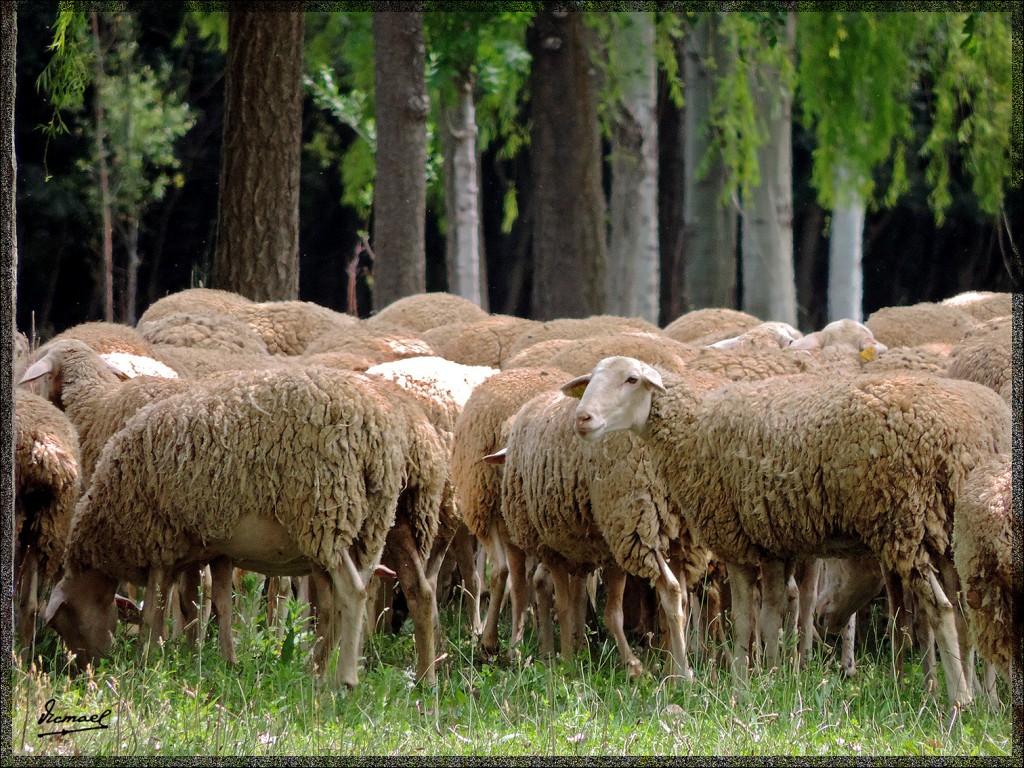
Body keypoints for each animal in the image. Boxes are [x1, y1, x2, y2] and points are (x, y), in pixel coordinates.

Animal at [44, 366, 405, 692]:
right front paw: (217, 660)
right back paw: (319, 672)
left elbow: (156, 607)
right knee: (340, 600)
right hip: (367, 528)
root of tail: (374, 430)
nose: (83, 670)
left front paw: (147, 657)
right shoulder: (212, 550)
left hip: (326, 514)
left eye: (63, 621)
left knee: (352, 593)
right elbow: (211, 604)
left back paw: (345, 679)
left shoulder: (159, 541)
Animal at [569, 356, 1007, 708]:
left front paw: (741, 686)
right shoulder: (772, 547)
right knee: (968, 615)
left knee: (942, 609)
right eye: (591, 379)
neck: (693, 428)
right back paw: (984, 698)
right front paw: (772, 678)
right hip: (952, 534)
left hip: (906, 522)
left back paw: (960, 699)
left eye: (631, 379)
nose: (582, 419)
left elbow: (744, 620)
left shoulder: (735, 543)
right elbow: (771, 616)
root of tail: (971, 436)